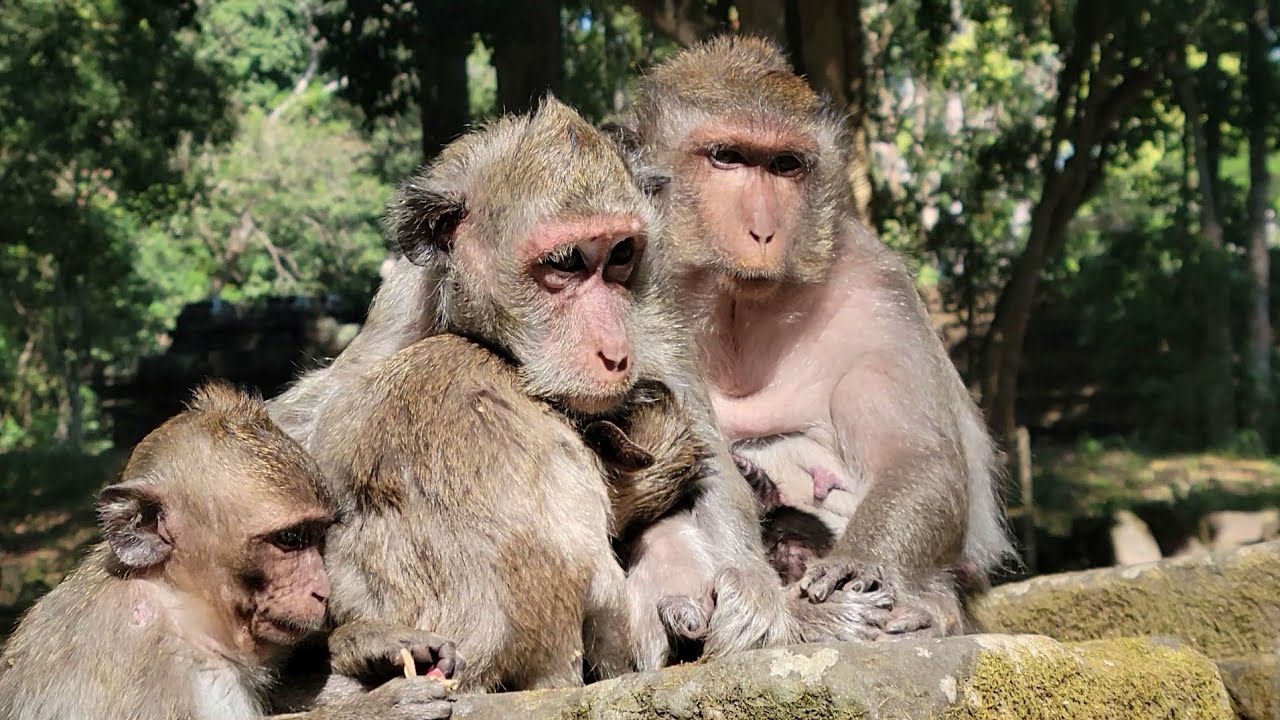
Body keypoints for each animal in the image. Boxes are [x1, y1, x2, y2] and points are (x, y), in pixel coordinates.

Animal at [0, 382, 457, 720]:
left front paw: (369, 639)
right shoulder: (132, 657)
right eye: (291, 540)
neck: (176, 602)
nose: (322, 590)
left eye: (316, 536)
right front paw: (382, 708)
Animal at [269, 95, 896, 672]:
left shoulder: (651, 310)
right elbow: (312, 424)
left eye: (619, 255)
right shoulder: (409, 300)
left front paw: (764, 602)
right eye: (566, 262)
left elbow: (710, 464)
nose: (613, 351)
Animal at [610, 35, 1017, 639]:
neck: (736, 311)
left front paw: (856, 568)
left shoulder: (876, 289)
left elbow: (920, 461)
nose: (762, 230)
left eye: (785, 165)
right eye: (727, 157)